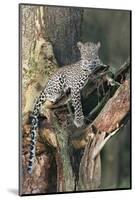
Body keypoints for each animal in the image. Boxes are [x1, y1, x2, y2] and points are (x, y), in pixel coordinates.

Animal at [27, 41, 107, 173]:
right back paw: (55, 95)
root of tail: (48, 82)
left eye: (92, 52)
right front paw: (79, 121)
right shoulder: (75, 88)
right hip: (57, 81)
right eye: (84, 52)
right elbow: (78, 105)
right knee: (49, 93)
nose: (89, 60)